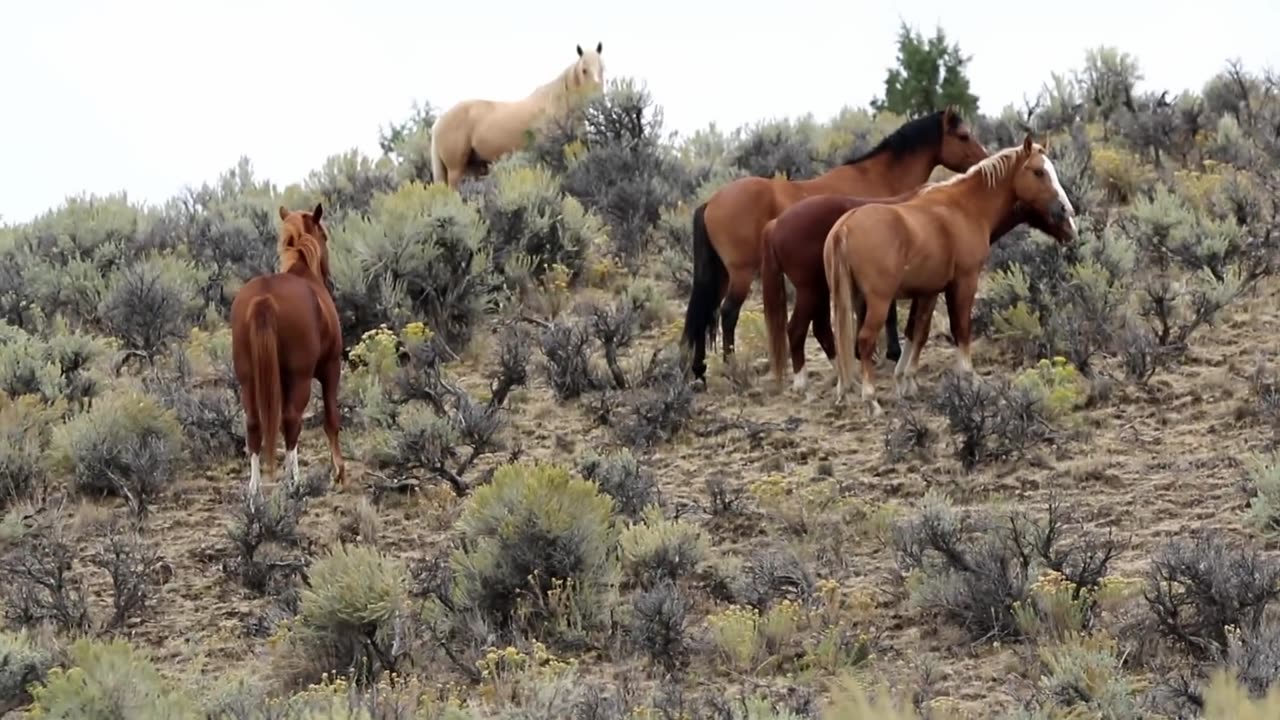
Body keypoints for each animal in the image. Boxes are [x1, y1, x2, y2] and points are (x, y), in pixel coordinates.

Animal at [230, 203, 346, 496]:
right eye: (325, 236)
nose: (330, 277)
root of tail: (263, 298)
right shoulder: (330, 368)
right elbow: (331, 419)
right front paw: (339, 471)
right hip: (300, 377)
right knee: (292, 420)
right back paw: (295, 481)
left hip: (248, 380)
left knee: (254, 424)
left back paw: (255, 489)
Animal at [429, 42, 605, 190]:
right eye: (584, 70)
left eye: (602, 68)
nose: (597, 97)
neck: (557, 100)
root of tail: (439, 122)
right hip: (455, 170)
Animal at [681, 107, 989, 385]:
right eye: (963, 136)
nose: (984, 161)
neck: (879, 177)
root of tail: (711, 202)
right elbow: (886, 312)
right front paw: (889, 352)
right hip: (742, 274)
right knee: (728, 313)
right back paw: (731, 366)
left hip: (723, 275)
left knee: (705, 313)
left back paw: (699, 370)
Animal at [825, 134, 1078, 418]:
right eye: (1038, 172)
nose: (1067, 212)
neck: (964, 208)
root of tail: (844, 227)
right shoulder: (964, 282)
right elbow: (961, 328)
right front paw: (969, 376)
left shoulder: (929, 291)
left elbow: (917, 332)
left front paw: (905, 381)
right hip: (878, 301)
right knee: (865, 340)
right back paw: (870, 399)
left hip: (855, 301)